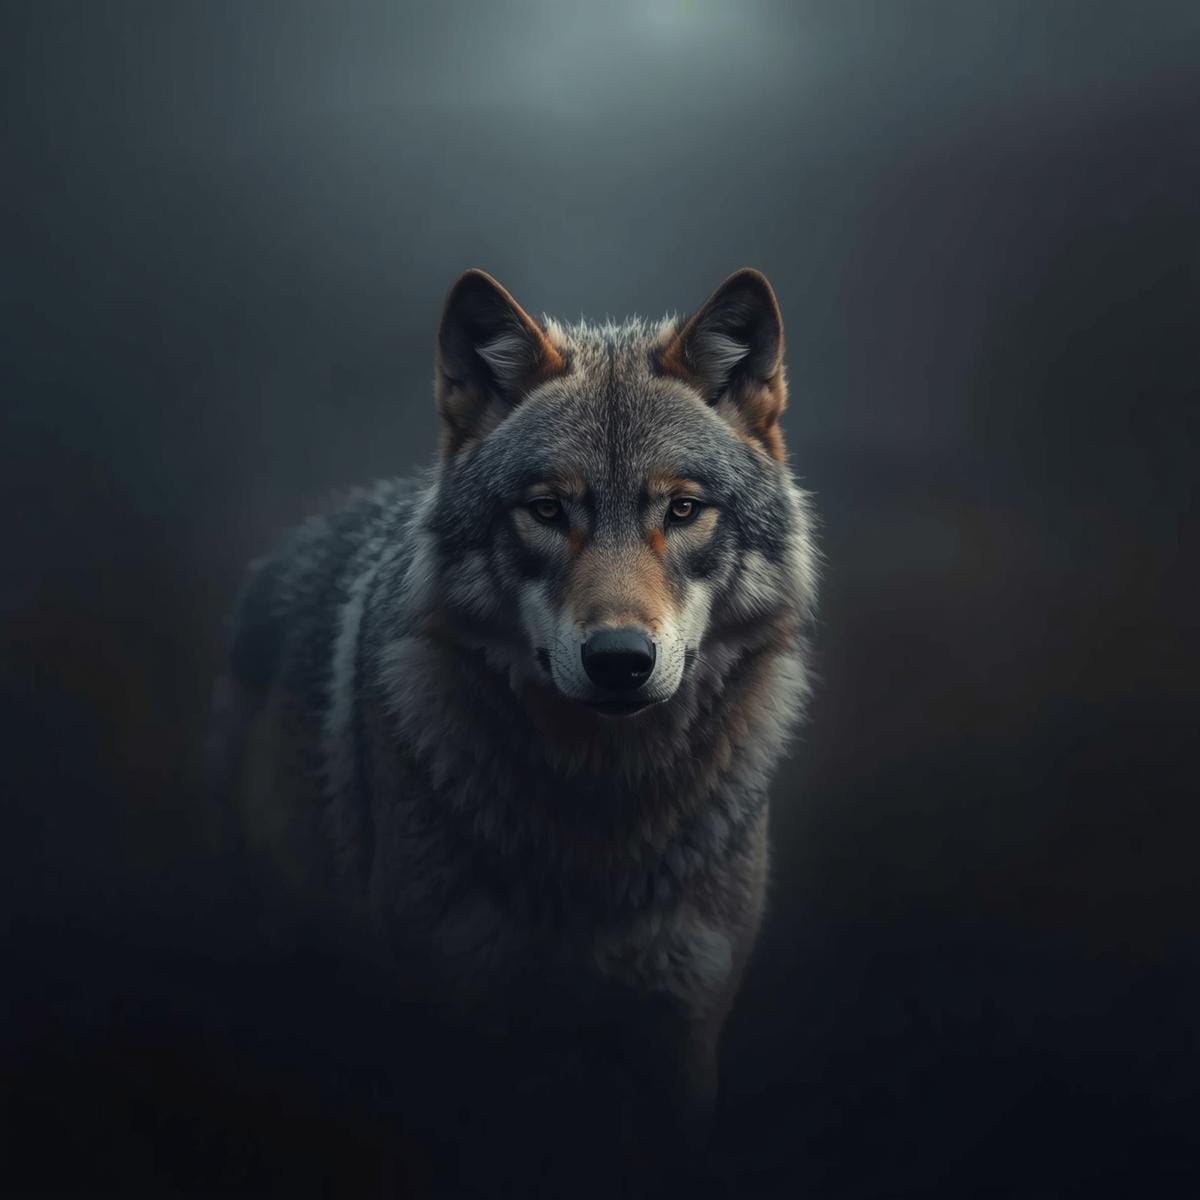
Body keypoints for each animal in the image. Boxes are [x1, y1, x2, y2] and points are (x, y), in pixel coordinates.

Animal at [212, 268, 818, 1185]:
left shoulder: (681, 1043)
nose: (618, 659)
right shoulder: (456, 1033)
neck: (599, 825)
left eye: (682, 510)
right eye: (547, 511)